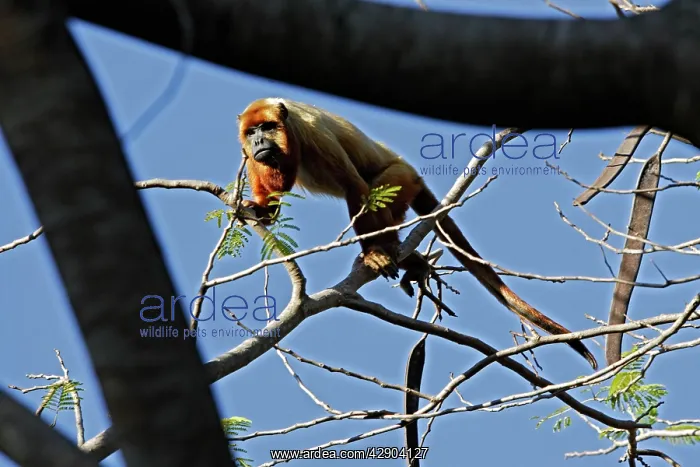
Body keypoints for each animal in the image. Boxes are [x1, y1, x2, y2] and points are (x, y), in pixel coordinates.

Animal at [237, 97, 598, 370]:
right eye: (252, 132)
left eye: (267, 127)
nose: (258, 141)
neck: (288, 132)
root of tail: (413, 172)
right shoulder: (252, 156)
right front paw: (260, 212)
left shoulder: (313, 133)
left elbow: (355, 187)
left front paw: (374, 254)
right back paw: (412, 260)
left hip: (401, 177)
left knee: (373, 187)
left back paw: (387, 253)